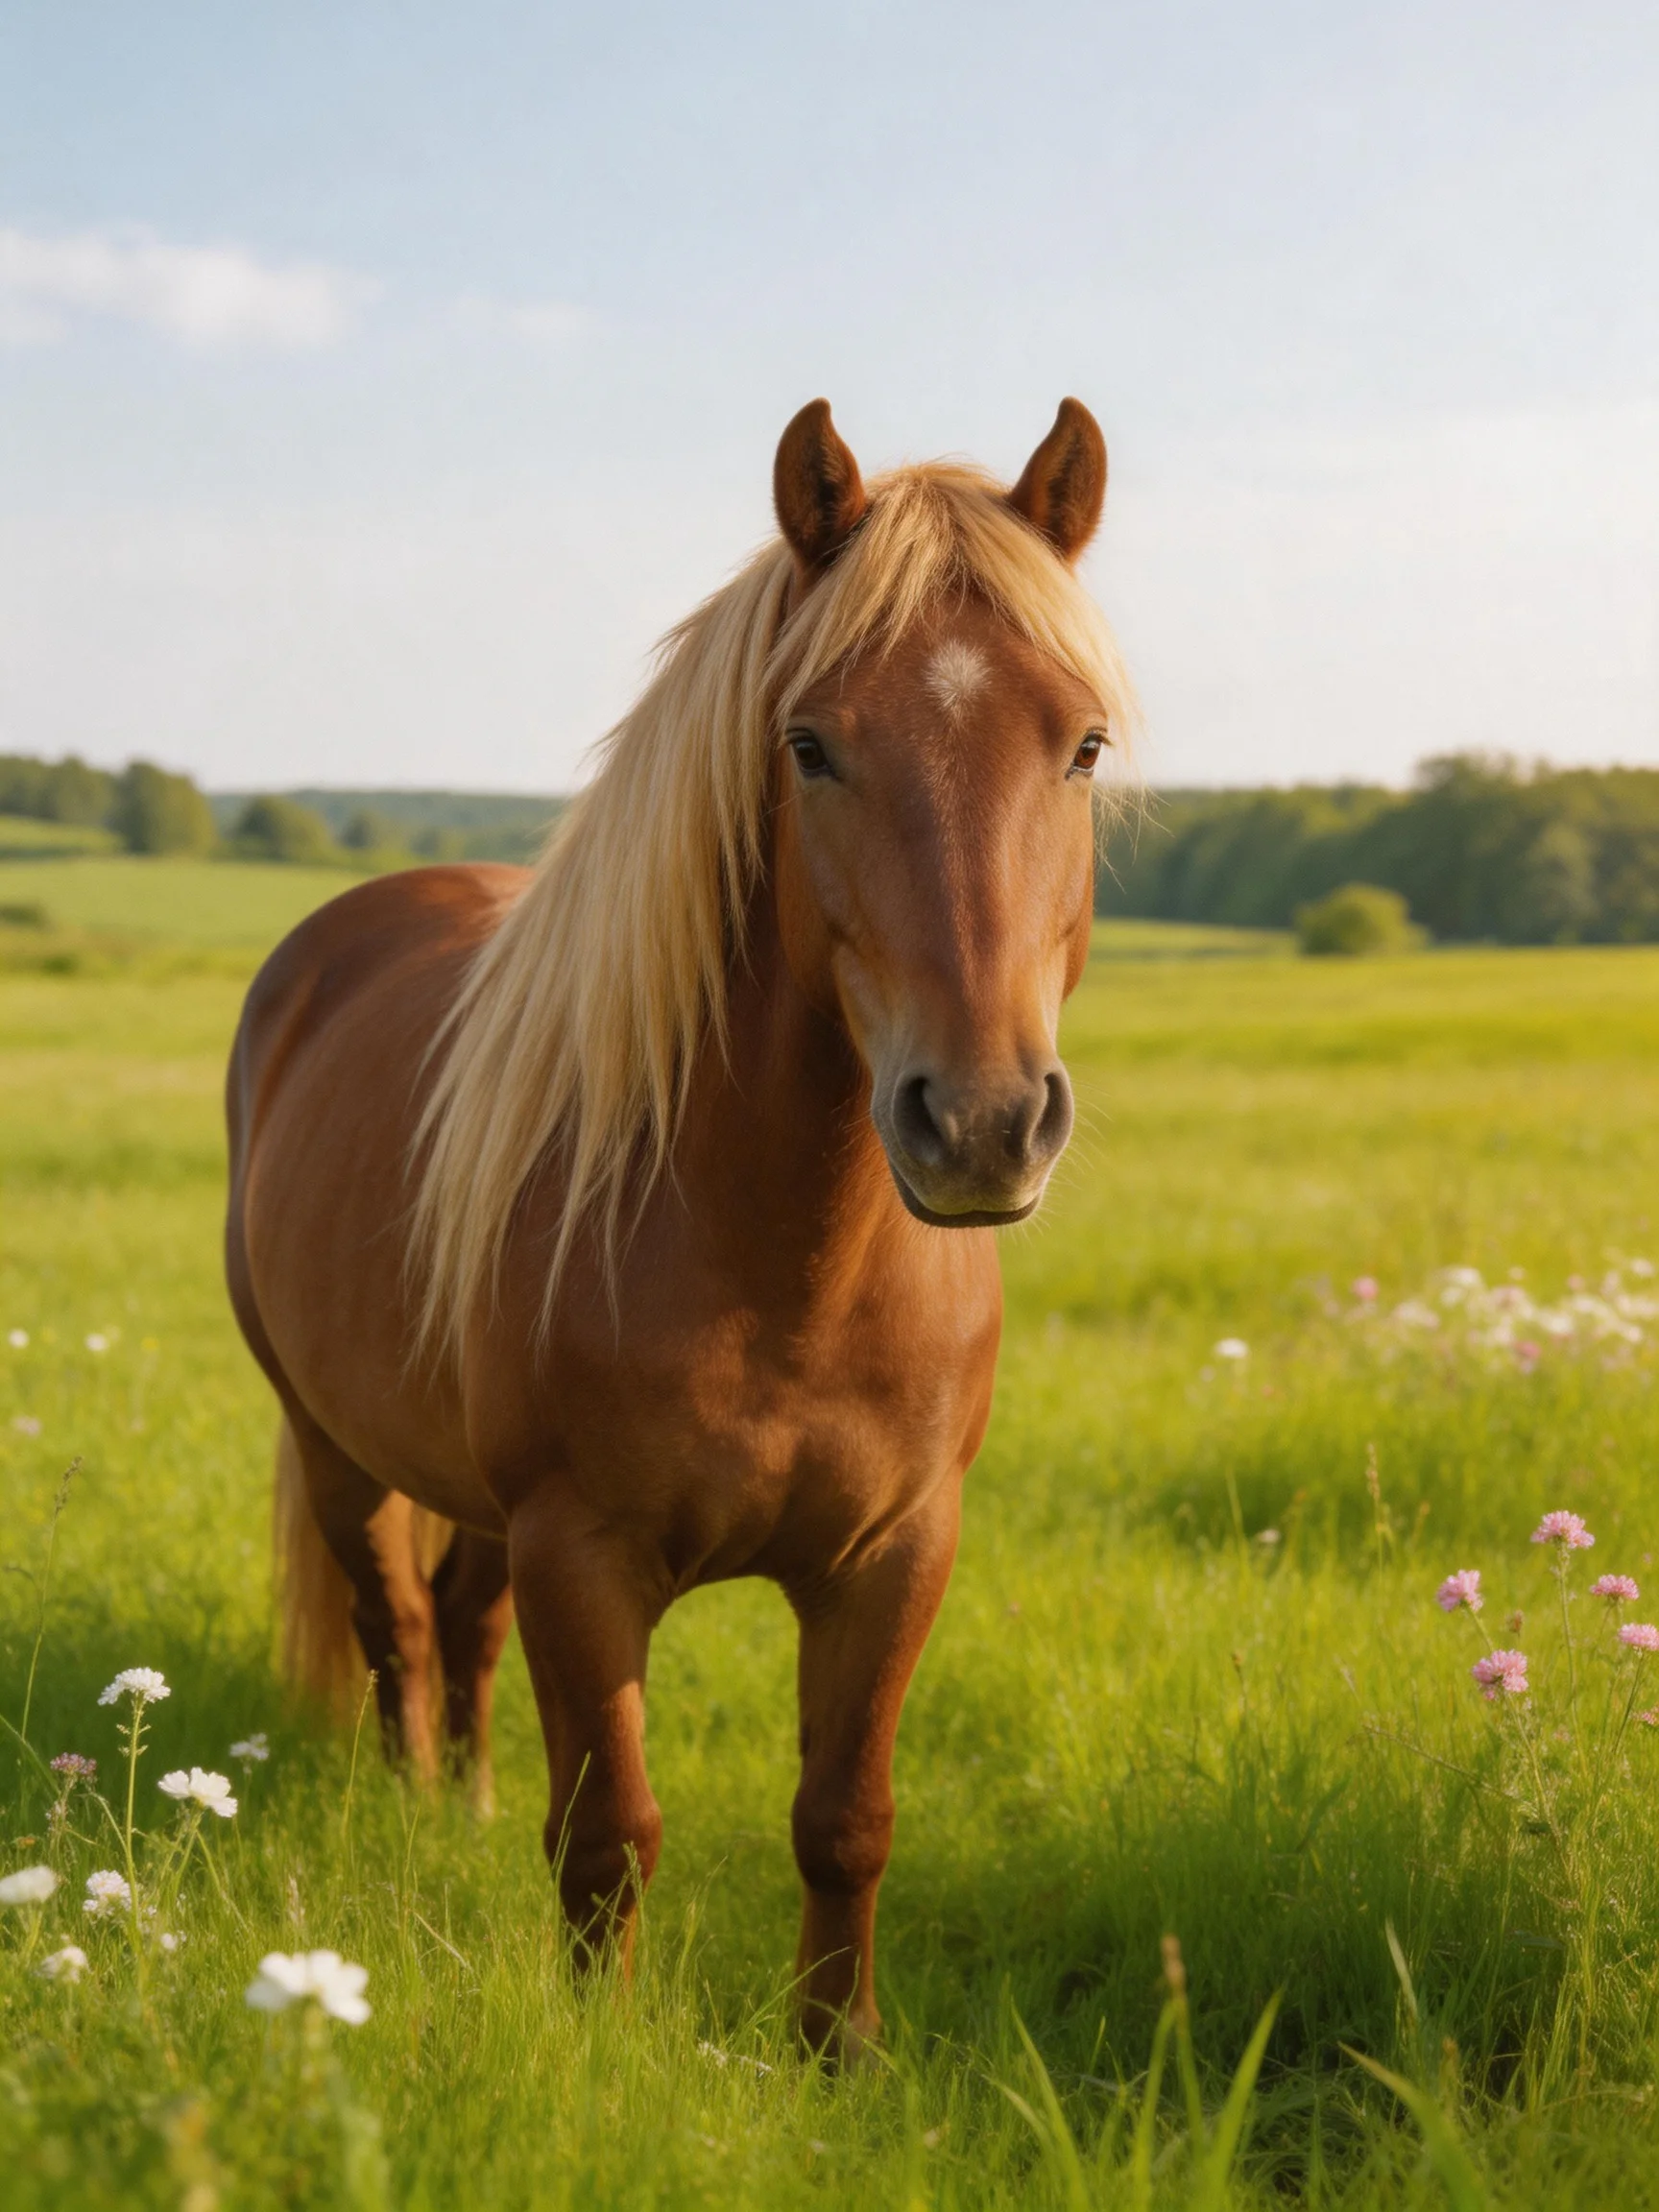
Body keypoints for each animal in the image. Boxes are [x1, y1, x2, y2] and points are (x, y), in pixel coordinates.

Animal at [225, 396, 1134, 2056]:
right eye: (811, 745)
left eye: (1083, 745)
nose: (980, 1121)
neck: (780, 1262)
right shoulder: (584, 1554)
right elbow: (610, 1835)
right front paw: (601, 2052)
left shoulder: (898, 1552)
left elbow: (846, 1820)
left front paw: (837, 2057)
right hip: (334, 1445)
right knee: (397, 1628)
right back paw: (412, 1814)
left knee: (459, 1626)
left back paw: (462, 1810)